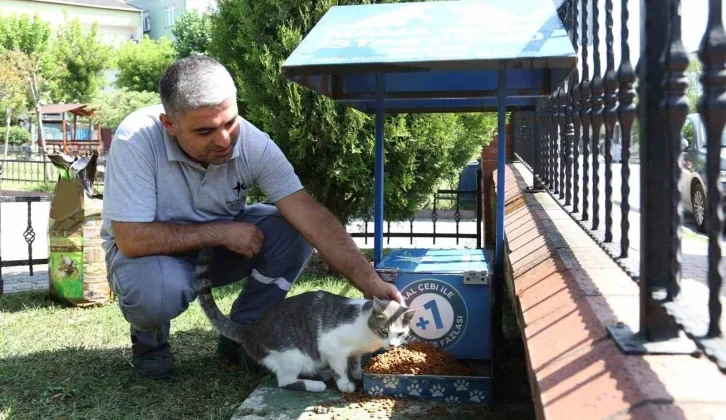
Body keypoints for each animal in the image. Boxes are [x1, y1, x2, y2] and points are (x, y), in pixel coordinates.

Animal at [193, 246, 420, 394]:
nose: (392, 345)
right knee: (285, 381)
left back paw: (321, 375)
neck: (366, 331)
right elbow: (340, 368)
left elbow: (354, 363)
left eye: (400, 333)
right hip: (293, 355)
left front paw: (357, 374)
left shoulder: (355, 352)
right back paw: (316, 384)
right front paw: (345, 384)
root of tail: (250, 330)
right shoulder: (333, 349)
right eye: (384, 331)